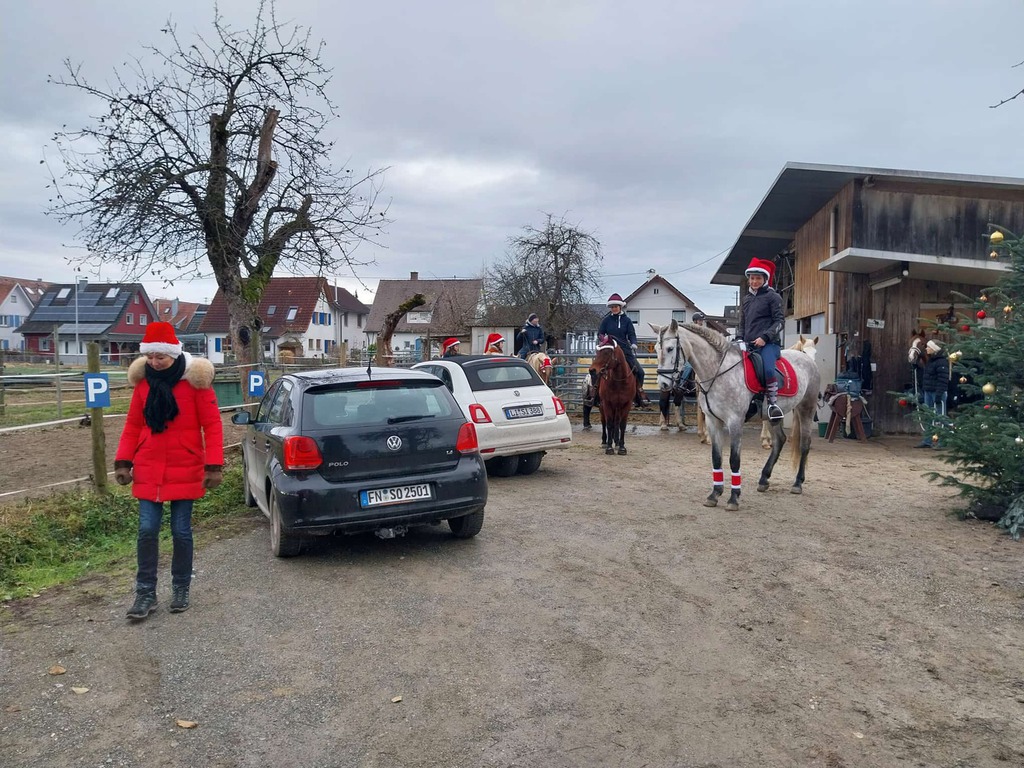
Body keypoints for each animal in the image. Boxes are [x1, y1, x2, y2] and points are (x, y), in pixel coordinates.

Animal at [666, 320, 820, 510]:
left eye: (670, 349)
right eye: (657, 347)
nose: (663, 382)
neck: (719, 372)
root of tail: (809, 363)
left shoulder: (735, 421)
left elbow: (734, 459)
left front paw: (733, 498)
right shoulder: (713, 420)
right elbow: (716, 457)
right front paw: (714, 494)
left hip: (806, 408)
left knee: (804, 444)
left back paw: (798, 483)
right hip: (775, 415)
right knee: (780, 440)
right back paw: (764, 479)